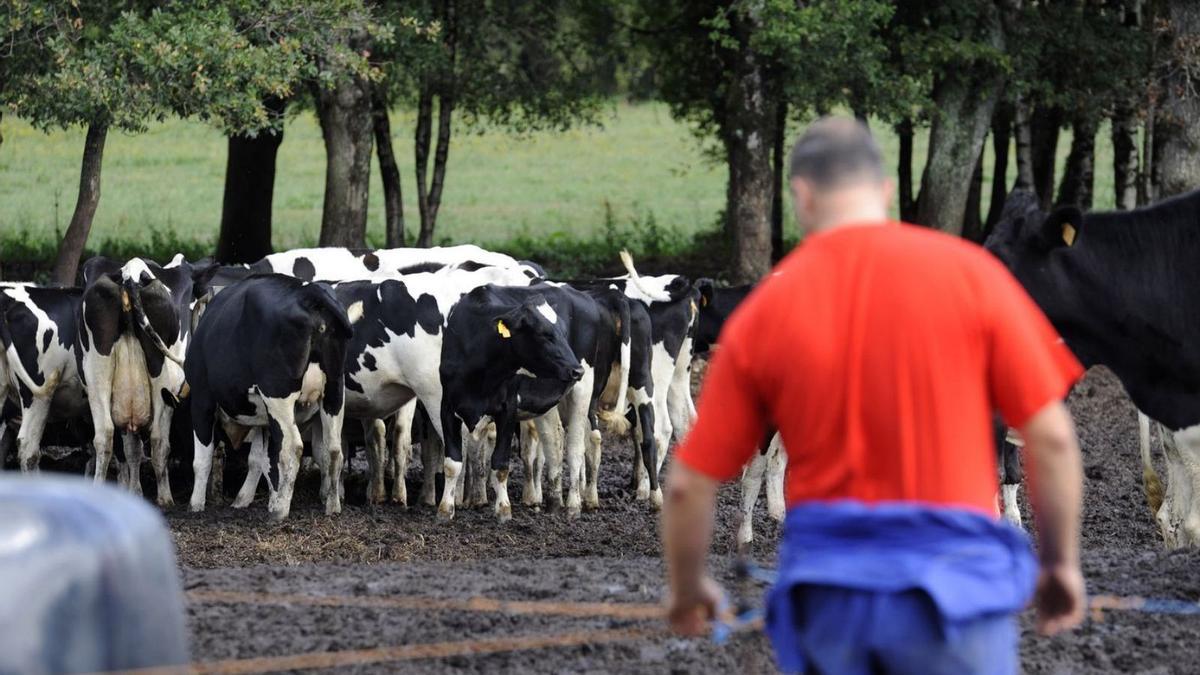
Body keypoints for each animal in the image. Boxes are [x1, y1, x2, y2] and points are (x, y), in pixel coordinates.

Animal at [182, 275, 350, 521]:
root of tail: (308, 292)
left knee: (293, 447)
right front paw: (252, 499)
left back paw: (280, 512)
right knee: (333, 449)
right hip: (334, 392)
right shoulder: (264, 417)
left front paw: (195, 505)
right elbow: (262, 459)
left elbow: (202, 458)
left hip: (278, 395)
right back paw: (332, 505)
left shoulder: (202, 399)